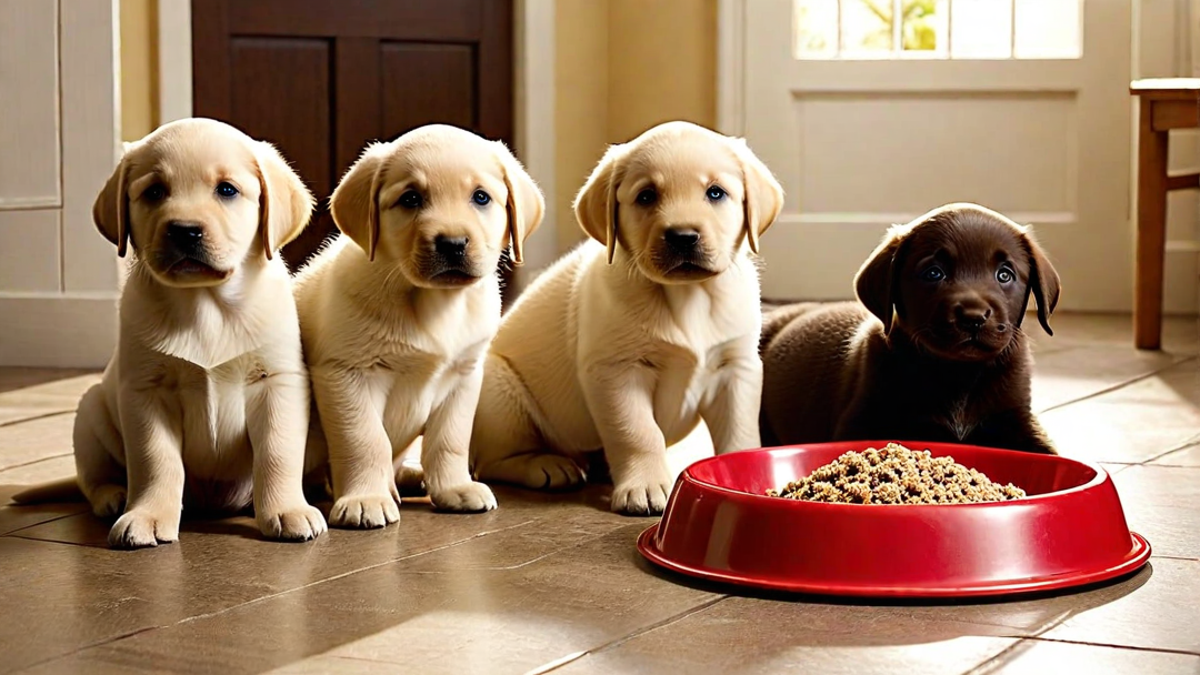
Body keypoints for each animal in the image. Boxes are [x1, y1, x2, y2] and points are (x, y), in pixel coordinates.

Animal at [12, 117, 328, 547]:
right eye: (154, 191)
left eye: (227, 190)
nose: (185, 231)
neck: (205, 305)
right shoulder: (147, 392)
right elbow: (155, 460)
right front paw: (147, 516)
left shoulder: (276, 382)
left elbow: (277, 453)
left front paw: (287, 510)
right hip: (90, 413)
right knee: (92, 478)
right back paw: (114, 497)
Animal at [297, 124, 547, 526]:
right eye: (411, 198)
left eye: (481, 197)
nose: (453, 243)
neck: (433, 303)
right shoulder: (346, 374)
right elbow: (365, 440)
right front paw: (365, 498)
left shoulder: (463, 377)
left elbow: (450, 440)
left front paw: (454, 488)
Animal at [468, 120, 787, 511]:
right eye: (646, 196)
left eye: (716, 193)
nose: (683, 236)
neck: (687, 296)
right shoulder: (618, 371)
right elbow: (638, 432)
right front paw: (645, 487)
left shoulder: (736, 368)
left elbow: (739, 431)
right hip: (499, 389)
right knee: (492, 461)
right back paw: (547, 465)